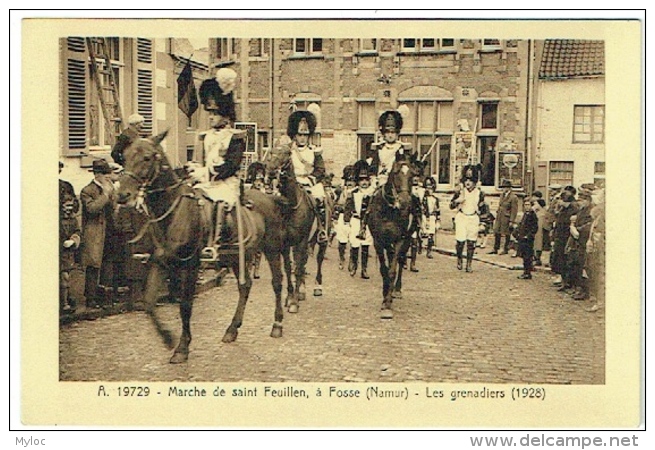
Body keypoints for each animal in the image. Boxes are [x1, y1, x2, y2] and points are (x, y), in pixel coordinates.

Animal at [114, 132, 288, 364]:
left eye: (147, 157)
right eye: (124, 157)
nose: (122, 194)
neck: (174, 210)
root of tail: (270, 197)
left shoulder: (191, 265)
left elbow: (185, 305)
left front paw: (182, 347)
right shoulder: (162, 262)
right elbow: (149, 303)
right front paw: (168, 337)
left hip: (272, 249)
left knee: (277, 283)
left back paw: (277, 325)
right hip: (237, 257)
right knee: (245, 287)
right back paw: (232, 329)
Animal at [264, 147, 330, 312]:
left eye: (287, 153)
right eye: (271, 152)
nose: (271, 171)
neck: (292, 204)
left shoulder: (301, 240)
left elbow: (299, 267)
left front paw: (294, 302)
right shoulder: (286, 243)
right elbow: (289, 268)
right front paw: (290, 296)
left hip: (320, 240)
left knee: (318, 259)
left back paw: (317, 287)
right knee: (302, 261)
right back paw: (301, 290)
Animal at [366, 160, 422, 318]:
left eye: (412, 175)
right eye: (395, 173)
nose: (405, 202)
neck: (389, 209)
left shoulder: (400, 240)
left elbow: (392, 271)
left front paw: (387, 303)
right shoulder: (378, 241)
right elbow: (384, 269)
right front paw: (385, 296)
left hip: (408, 239)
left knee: (400, 261)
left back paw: (396, 290)